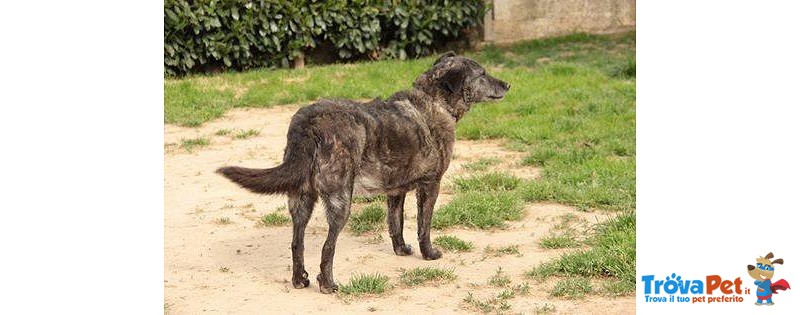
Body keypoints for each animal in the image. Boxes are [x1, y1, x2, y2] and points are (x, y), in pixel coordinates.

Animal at [216, 51, 510, 294]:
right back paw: (328, 284)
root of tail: (308, 122)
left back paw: (300, 279)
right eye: (483, 74)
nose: (508, 85)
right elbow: (423, 226)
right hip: (340, 201)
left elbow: (395, 224)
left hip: (301, 199)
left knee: (297, 242)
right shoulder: (430, 185)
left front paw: (401, 250)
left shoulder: (396, 191)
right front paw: (429, 254)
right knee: (328, 246)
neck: (433, 100)